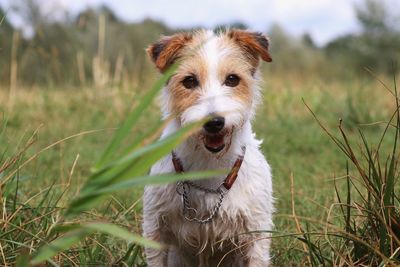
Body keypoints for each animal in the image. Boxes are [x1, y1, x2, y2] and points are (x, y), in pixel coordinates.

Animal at [142, 29, 274, 267]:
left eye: (232, 79)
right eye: (189, 80)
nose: (214, 123)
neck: (209, 163)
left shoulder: (257, 233)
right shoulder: (154, 227)